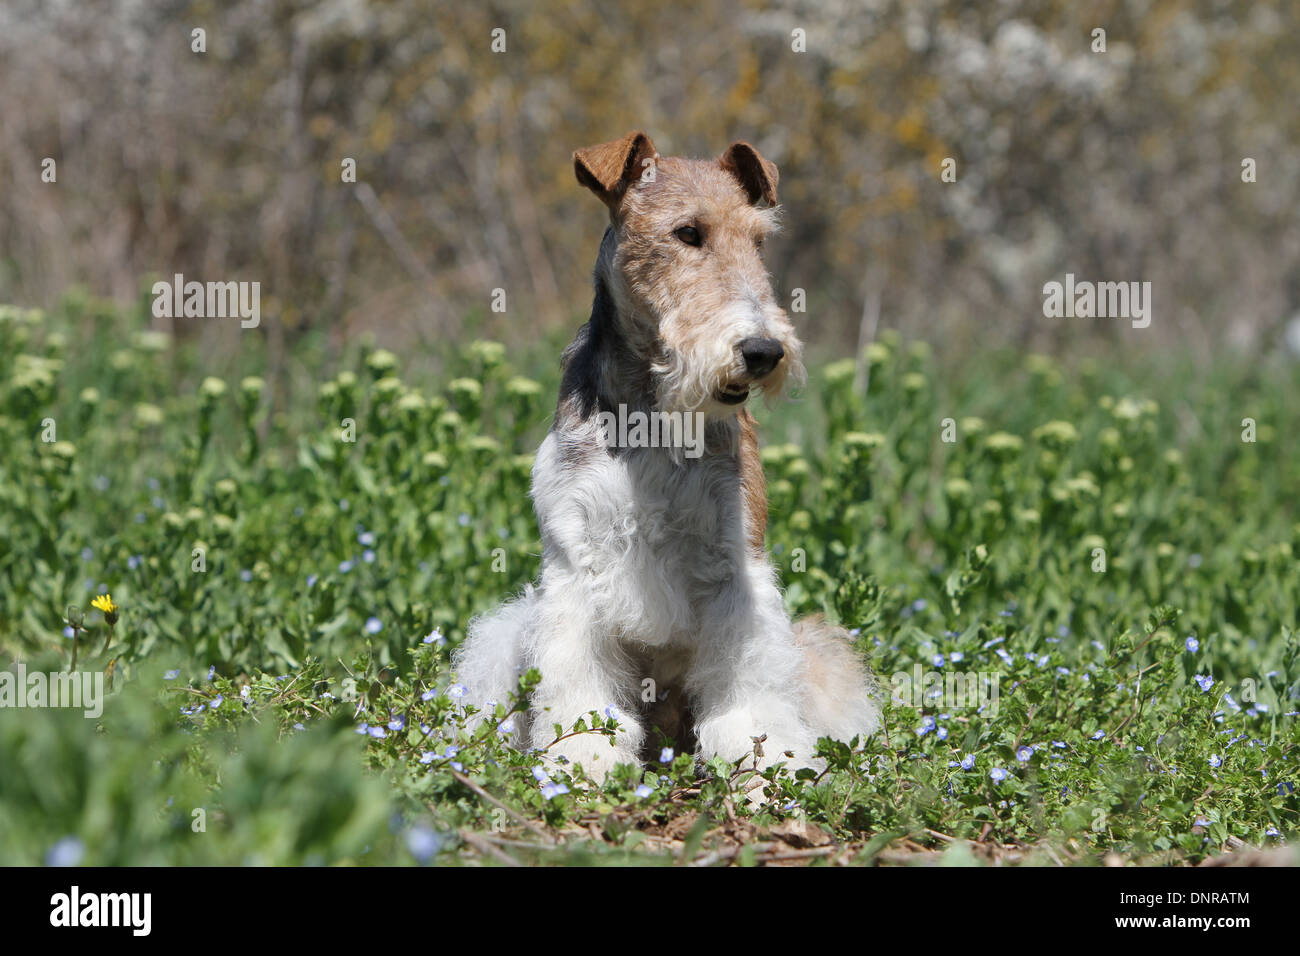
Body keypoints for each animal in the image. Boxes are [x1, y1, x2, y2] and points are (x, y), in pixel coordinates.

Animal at [452, 130, 878, 780]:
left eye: (759, 241)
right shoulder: (575, 569)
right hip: (506, 635)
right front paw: (583, 760)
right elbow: (578, 690)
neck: (655, 417)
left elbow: (747, 696)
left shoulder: (736, 566)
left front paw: (762, 772)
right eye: (687, 233)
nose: (763, 351)